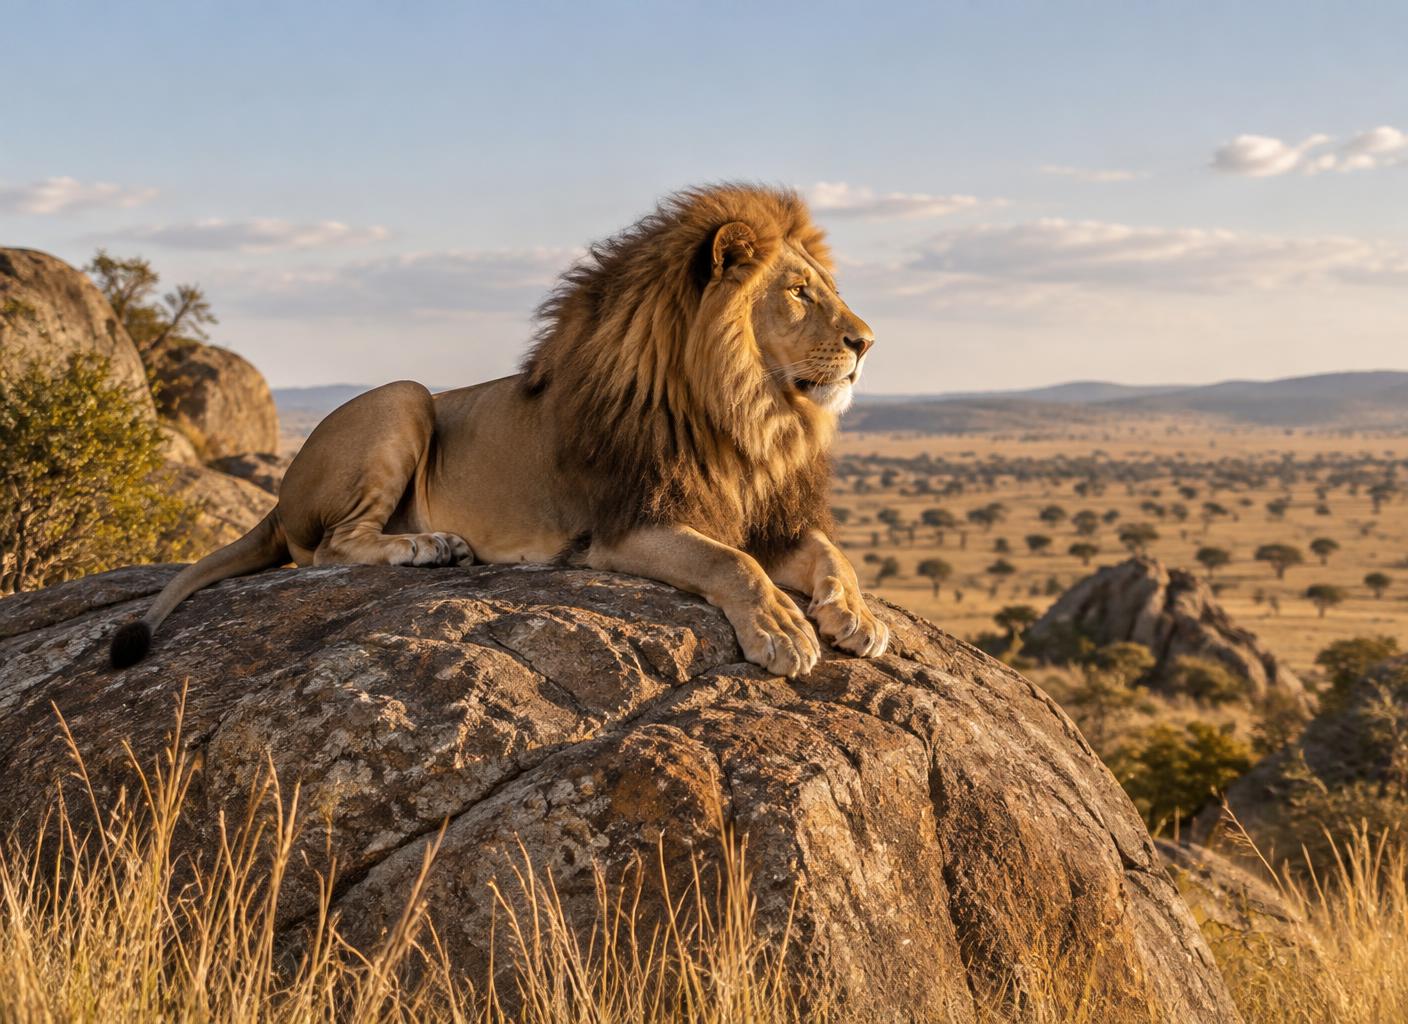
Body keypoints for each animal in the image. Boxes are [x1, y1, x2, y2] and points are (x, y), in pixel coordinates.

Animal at [110, 183, 888, 677]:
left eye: (828, 288)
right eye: (799, 292)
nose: (867, 342)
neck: (744, 412)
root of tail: (277, 501)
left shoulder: (768, 515)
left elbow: (830, 554)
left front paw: (855, 614)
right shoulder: (625, 527)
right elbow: (732, 565)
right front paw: (781, 628)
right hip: (402, 398)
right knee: (329, 548)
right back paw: (429, 547)